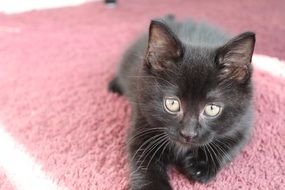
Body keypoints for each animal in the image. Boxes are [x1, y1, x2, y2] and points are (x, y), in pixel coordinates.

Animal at [108, 16, 253, 190]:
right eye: (172, 104)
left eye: (212, 109)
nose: (188, 134)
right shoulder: (142, 118)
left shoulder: (244, 120)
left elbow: (232, 143)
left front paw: (200, 166)